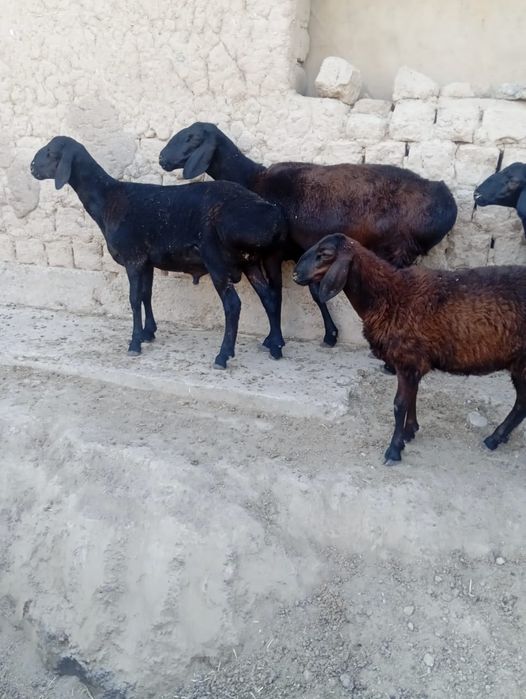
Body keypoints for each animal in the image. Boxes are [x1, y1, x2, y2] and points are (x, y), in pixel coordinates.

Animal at [30, 136, 287, 369]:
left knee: (233, 305)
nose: (32, 167)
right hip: (249, 261)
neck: (108, 200)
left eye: (51, 152)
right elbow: (147, 294)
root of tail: (270, 216)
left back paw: (223, 356)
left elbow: (134, 299)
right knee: (269, 297)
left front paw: (134, 343)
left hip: (216, 261)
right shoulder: (147, 261)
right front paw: (148, 333)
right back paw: (275, 346)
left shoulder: (133, 258)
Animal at [159, 122, 457, 349]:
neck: (253, 179)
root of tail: (446, 199)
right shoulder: (305, 252)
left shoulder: (274, 254)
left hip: (399, 250)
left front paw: (275, 341)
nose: (162, 158)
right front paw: (330, 335)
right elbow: (315, 293)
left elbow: (274, 294)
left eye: (192, 137)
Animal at [293, 233, 526, 464]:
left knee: (521, 404)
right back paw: (498, 438)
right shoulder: (412, 363)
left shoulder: (407, 360)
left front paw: (394, 450)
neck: (388, 296)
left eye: (324, 254)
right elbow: (412, 397)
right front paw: (409, 432)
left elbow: (400, 405)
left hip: (521, 364)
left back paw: (494, 438)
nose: (295, 274)